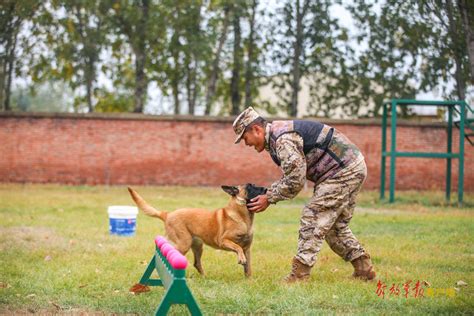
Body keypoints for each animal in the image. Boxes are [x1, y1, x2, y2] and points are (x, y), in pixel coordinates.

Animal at [128, 184, 266, 278]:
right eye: (250, 186)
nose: (265, 189)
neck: (241, 217)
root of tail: (168, 214)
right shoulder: (224, 241)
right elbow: (237, 248)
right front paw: (241, 259)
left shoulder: (247, 249)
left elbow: (248, 268)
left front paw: (249, 281)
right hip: (184, 244)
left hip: (198, 246)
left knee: (196, 263)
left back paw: (204, 278)